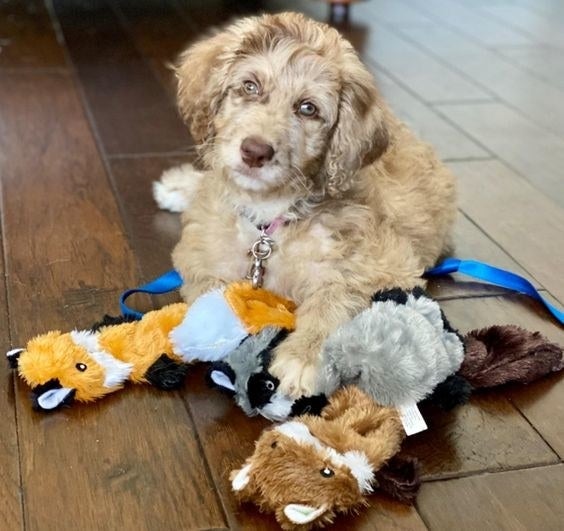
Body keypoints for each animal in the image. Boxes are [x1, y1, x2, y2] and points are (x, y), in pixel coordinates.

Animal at [155, 11, 458, 400]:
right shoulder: (201, 250)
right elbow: (209, 289)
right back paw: (178, 186)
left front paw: (304, 355)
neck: (270, 219)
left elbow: (337, 295)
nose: (255, 152)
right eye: (250, 86)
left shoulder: (386, 264)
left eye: (307, 109)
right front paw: (211, 326)